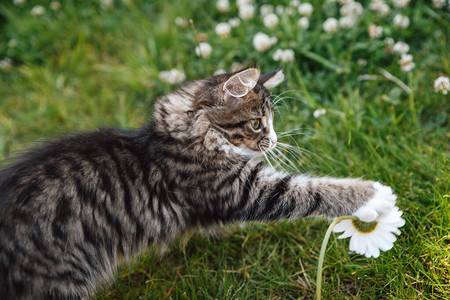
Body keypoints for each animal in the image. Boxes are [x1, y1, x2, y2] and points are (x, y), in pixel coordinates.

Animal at [0, 67, 394, 298]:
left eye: (268, 122)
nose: (275, 140)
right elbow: (311, 191)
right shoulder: (242, 191)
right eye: (257, 123)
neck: (182, 133)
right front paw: (375, 197)